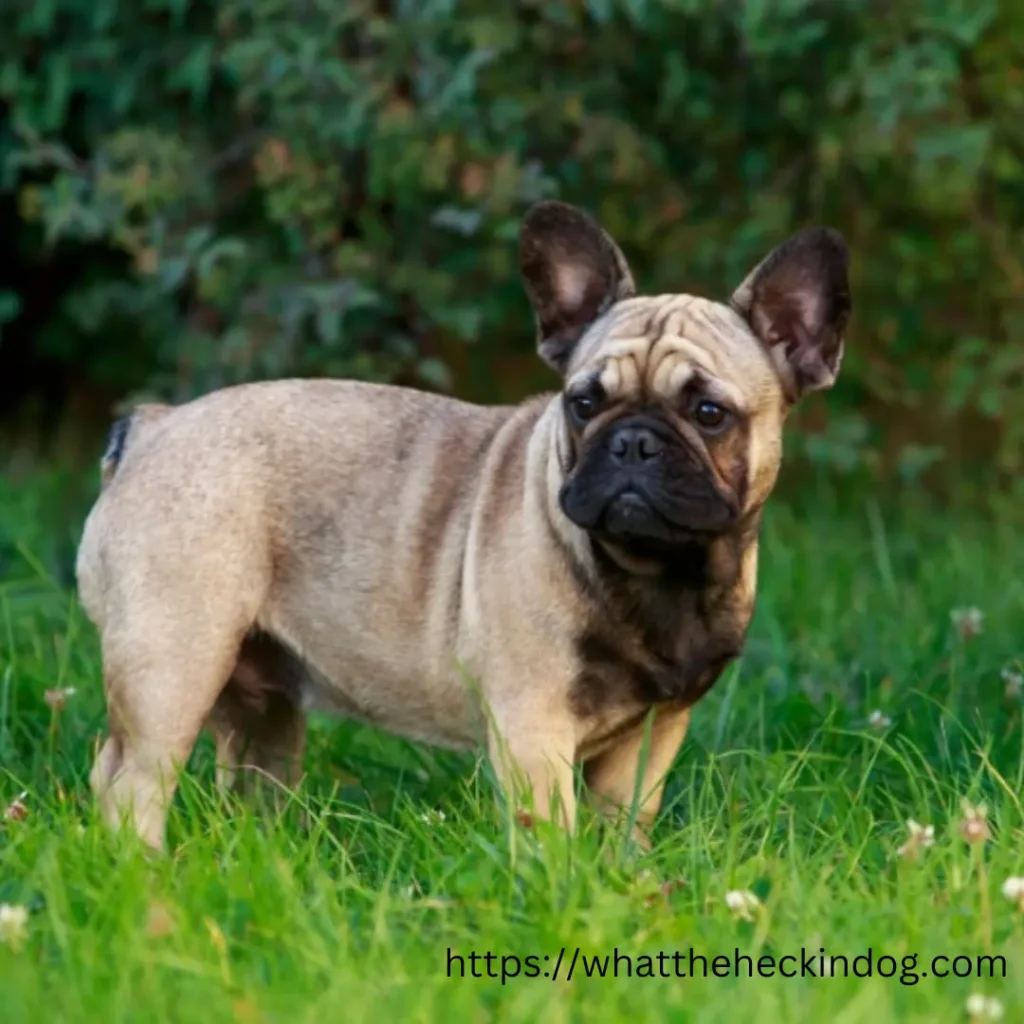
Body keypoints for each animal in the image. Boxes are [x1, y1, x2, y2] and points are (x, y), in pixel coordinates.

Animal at [75, 199, 851, 847]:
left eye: (709, 414)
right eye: (583, 404)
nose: (633, 442)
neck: (656, 571)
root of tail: (151, 427)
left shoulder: (654, 735)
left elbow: (622, 828)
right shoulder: (533, 727)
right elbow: (551, 839)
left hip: (262, 704)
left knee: (250, 783)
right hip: (173, 664)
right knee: (128, 781)